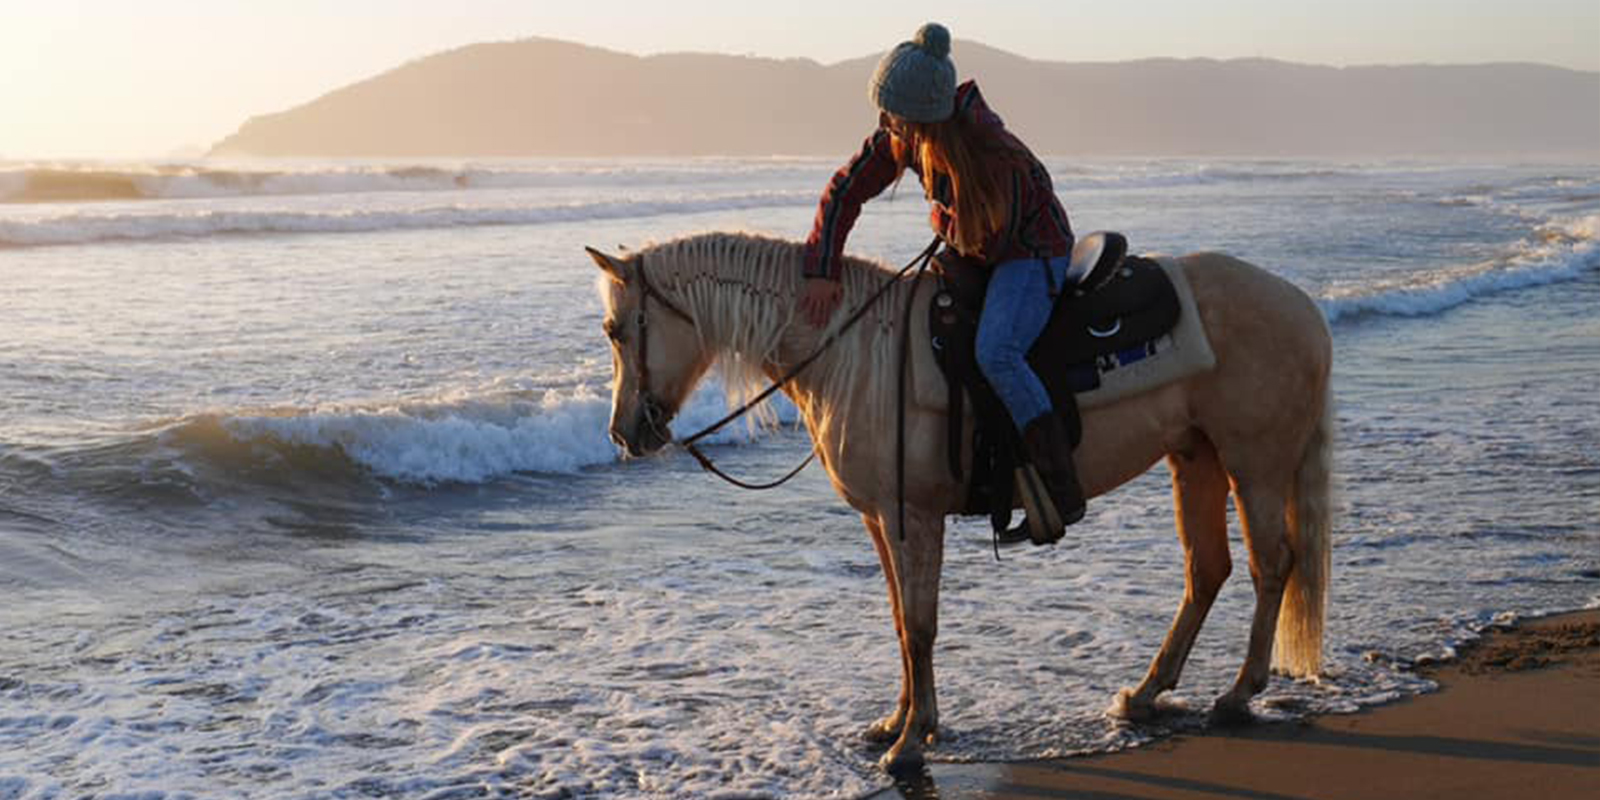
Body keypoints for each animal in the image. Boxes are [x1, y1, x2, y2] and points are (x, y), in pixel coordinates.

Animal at [588, 233, 1337, 774]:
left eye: (615, 329)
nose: (624, 434)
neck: (855, 354)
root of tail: (1302, 306)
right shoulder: (881, 518)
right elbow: (900, 621)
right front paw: (900, 722)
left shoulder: (911, 516)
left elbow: (920, 624)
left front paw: (911, 743)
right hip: (1195, 457)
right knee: (1207, 570)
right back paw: (1147, 693)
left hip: (1254, 460)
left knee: (1272, 565)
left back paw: (1237, 694)